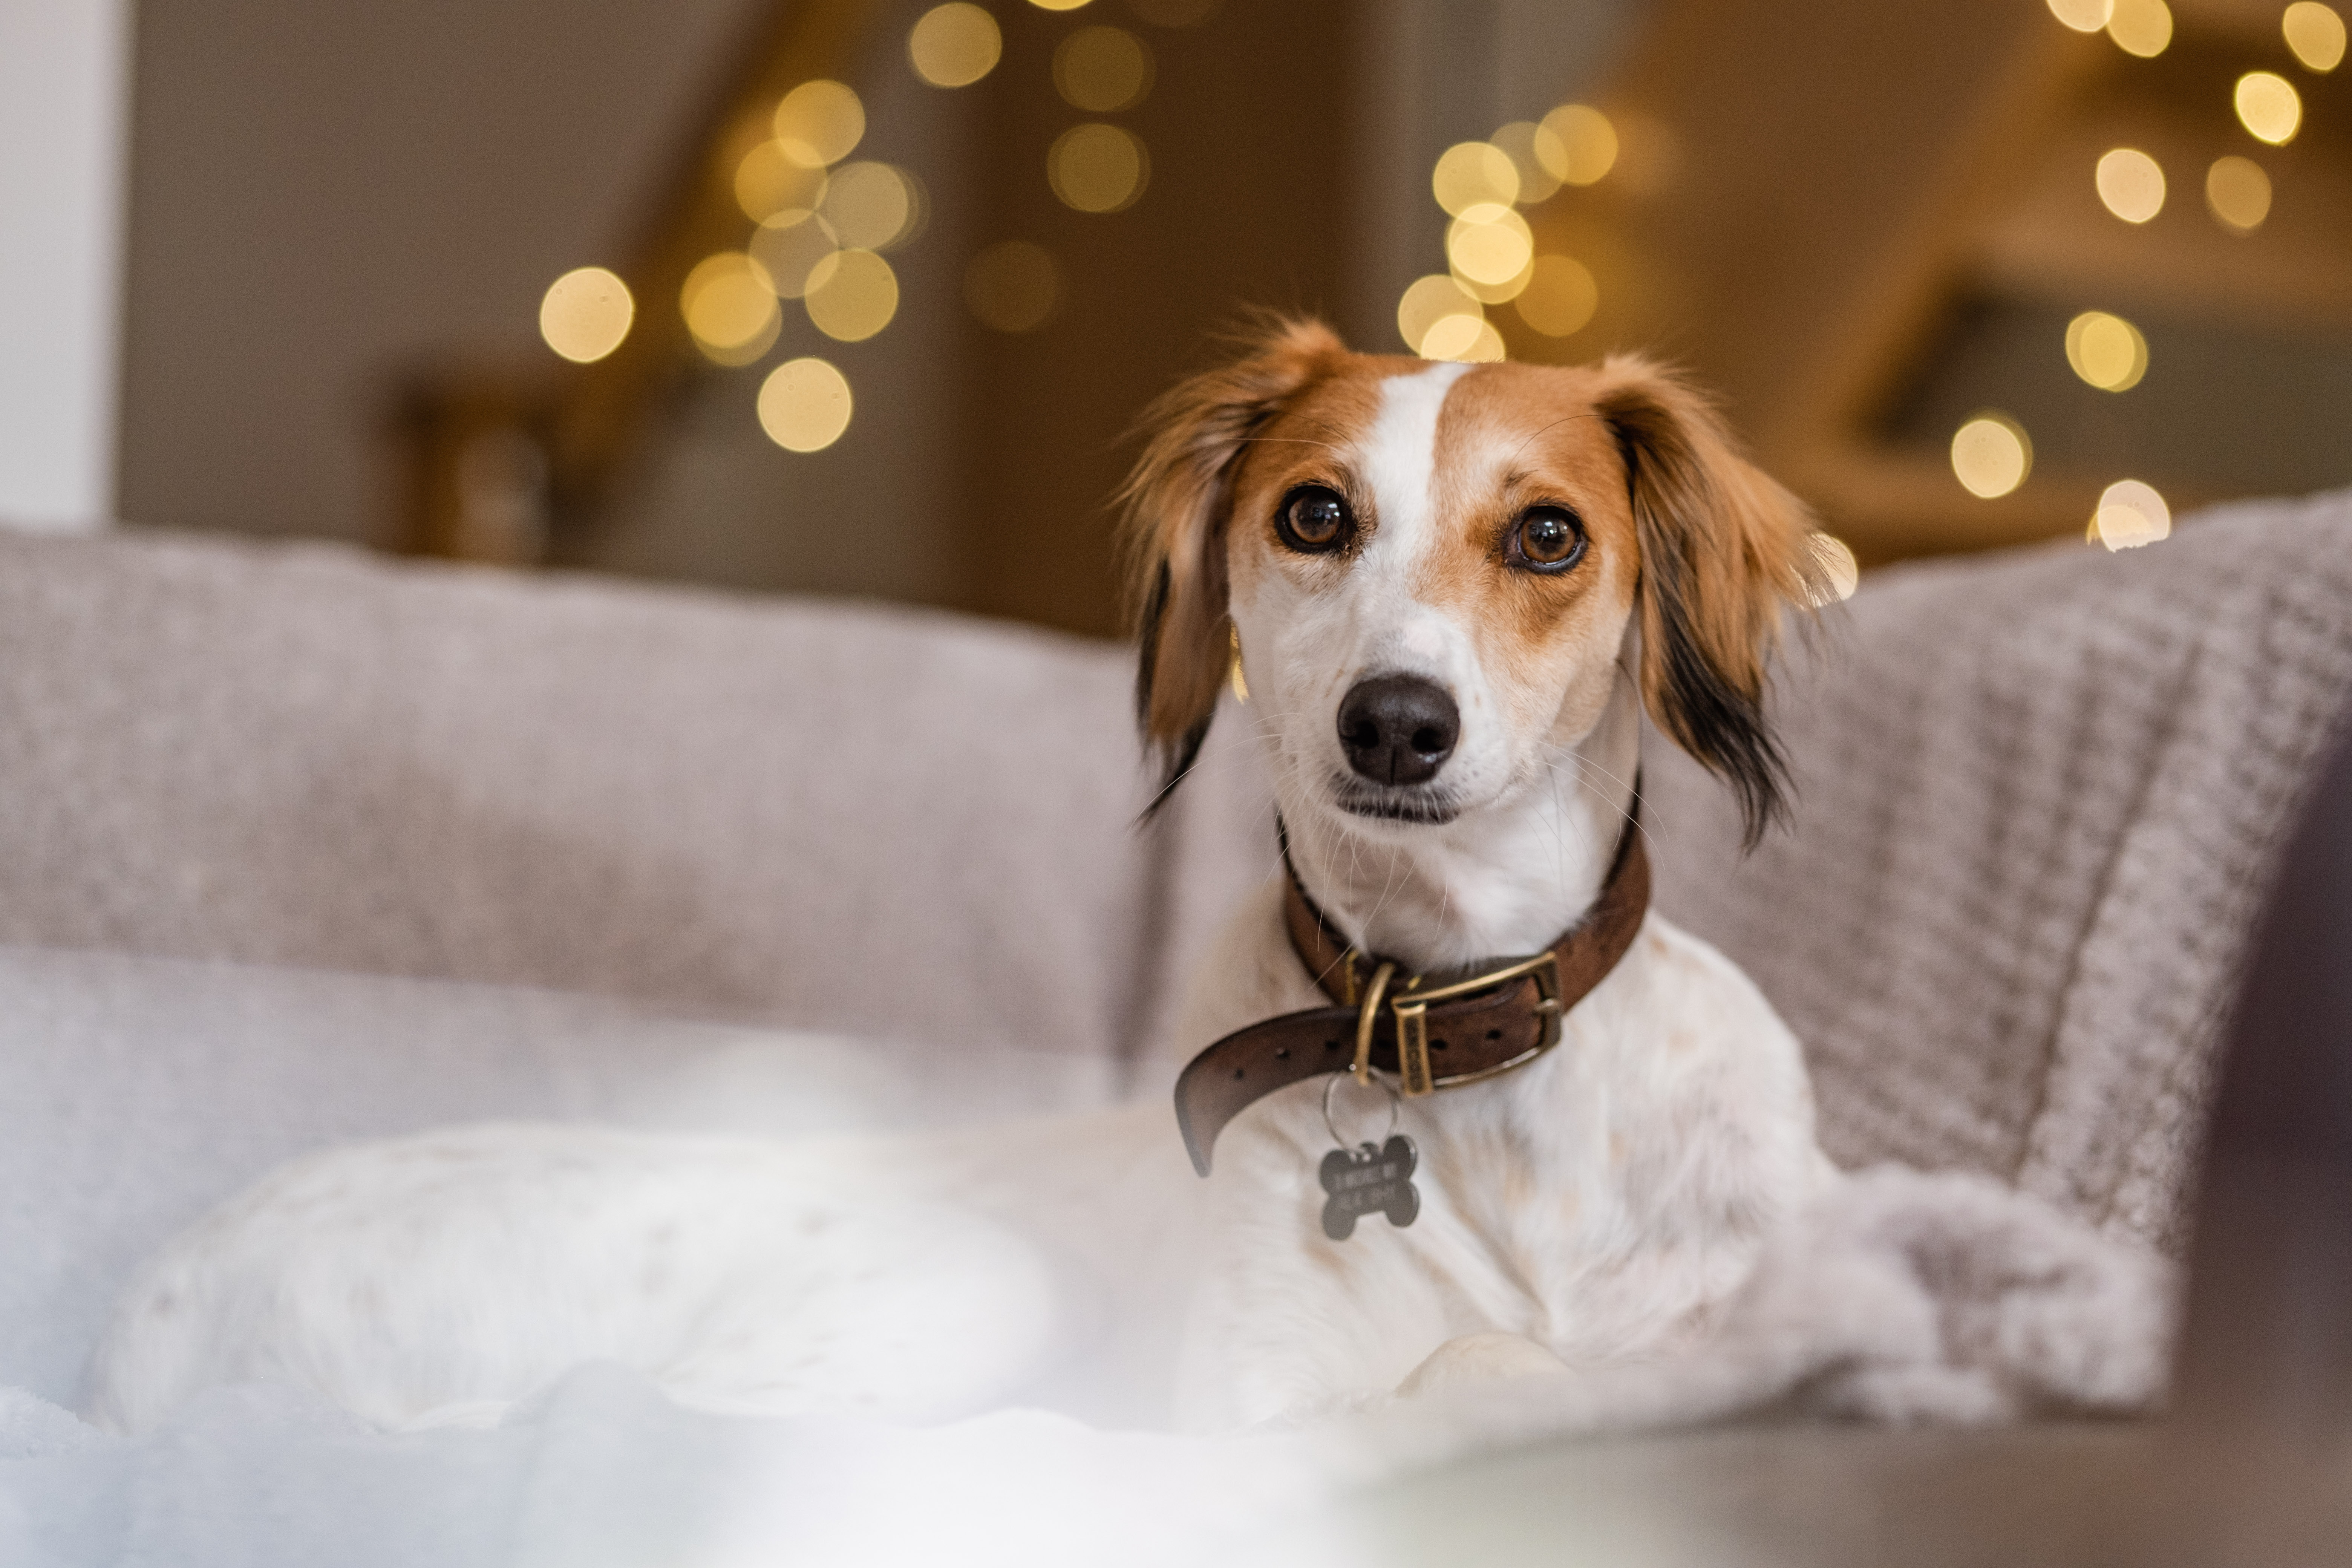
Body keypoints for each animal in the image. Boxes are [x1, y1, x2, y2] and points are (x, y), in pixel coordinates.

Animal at [87, 324, 1834, 1438]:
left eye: (1548, 536)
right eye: (1314, 512)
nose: (1396, 725)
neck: (1460, 1029)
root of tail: (156, 1307)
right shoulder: (1251, 1407)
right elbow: (1475, 1370)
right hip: (979, 1284)